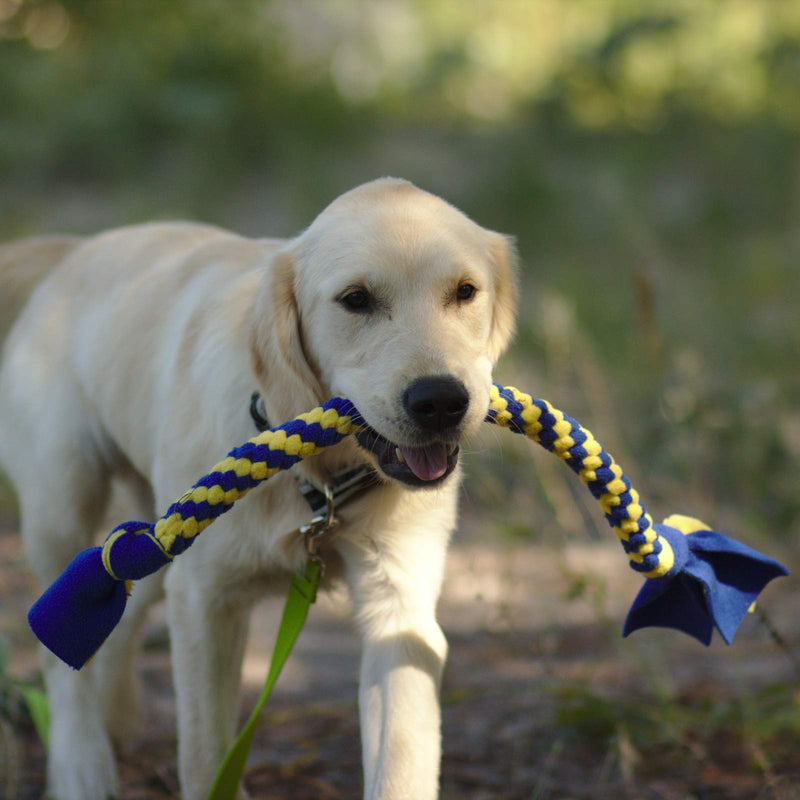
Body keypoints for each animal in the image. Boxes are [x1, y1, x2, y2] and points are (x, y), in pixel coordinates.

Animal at [0, 180, 520, 800]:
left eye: (465, 292)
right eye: (356, 299)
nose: (441, 401)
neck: (319, 481)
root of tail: (78, 249)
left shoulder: (401, 610)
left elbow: (402, 764)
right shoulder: (204, 598)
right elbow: (206, 756)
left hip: (146, 539)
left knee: (118, 603)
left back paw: (115, 716)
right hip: (64, 500)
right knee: (57, 648)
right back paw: (82, 762)